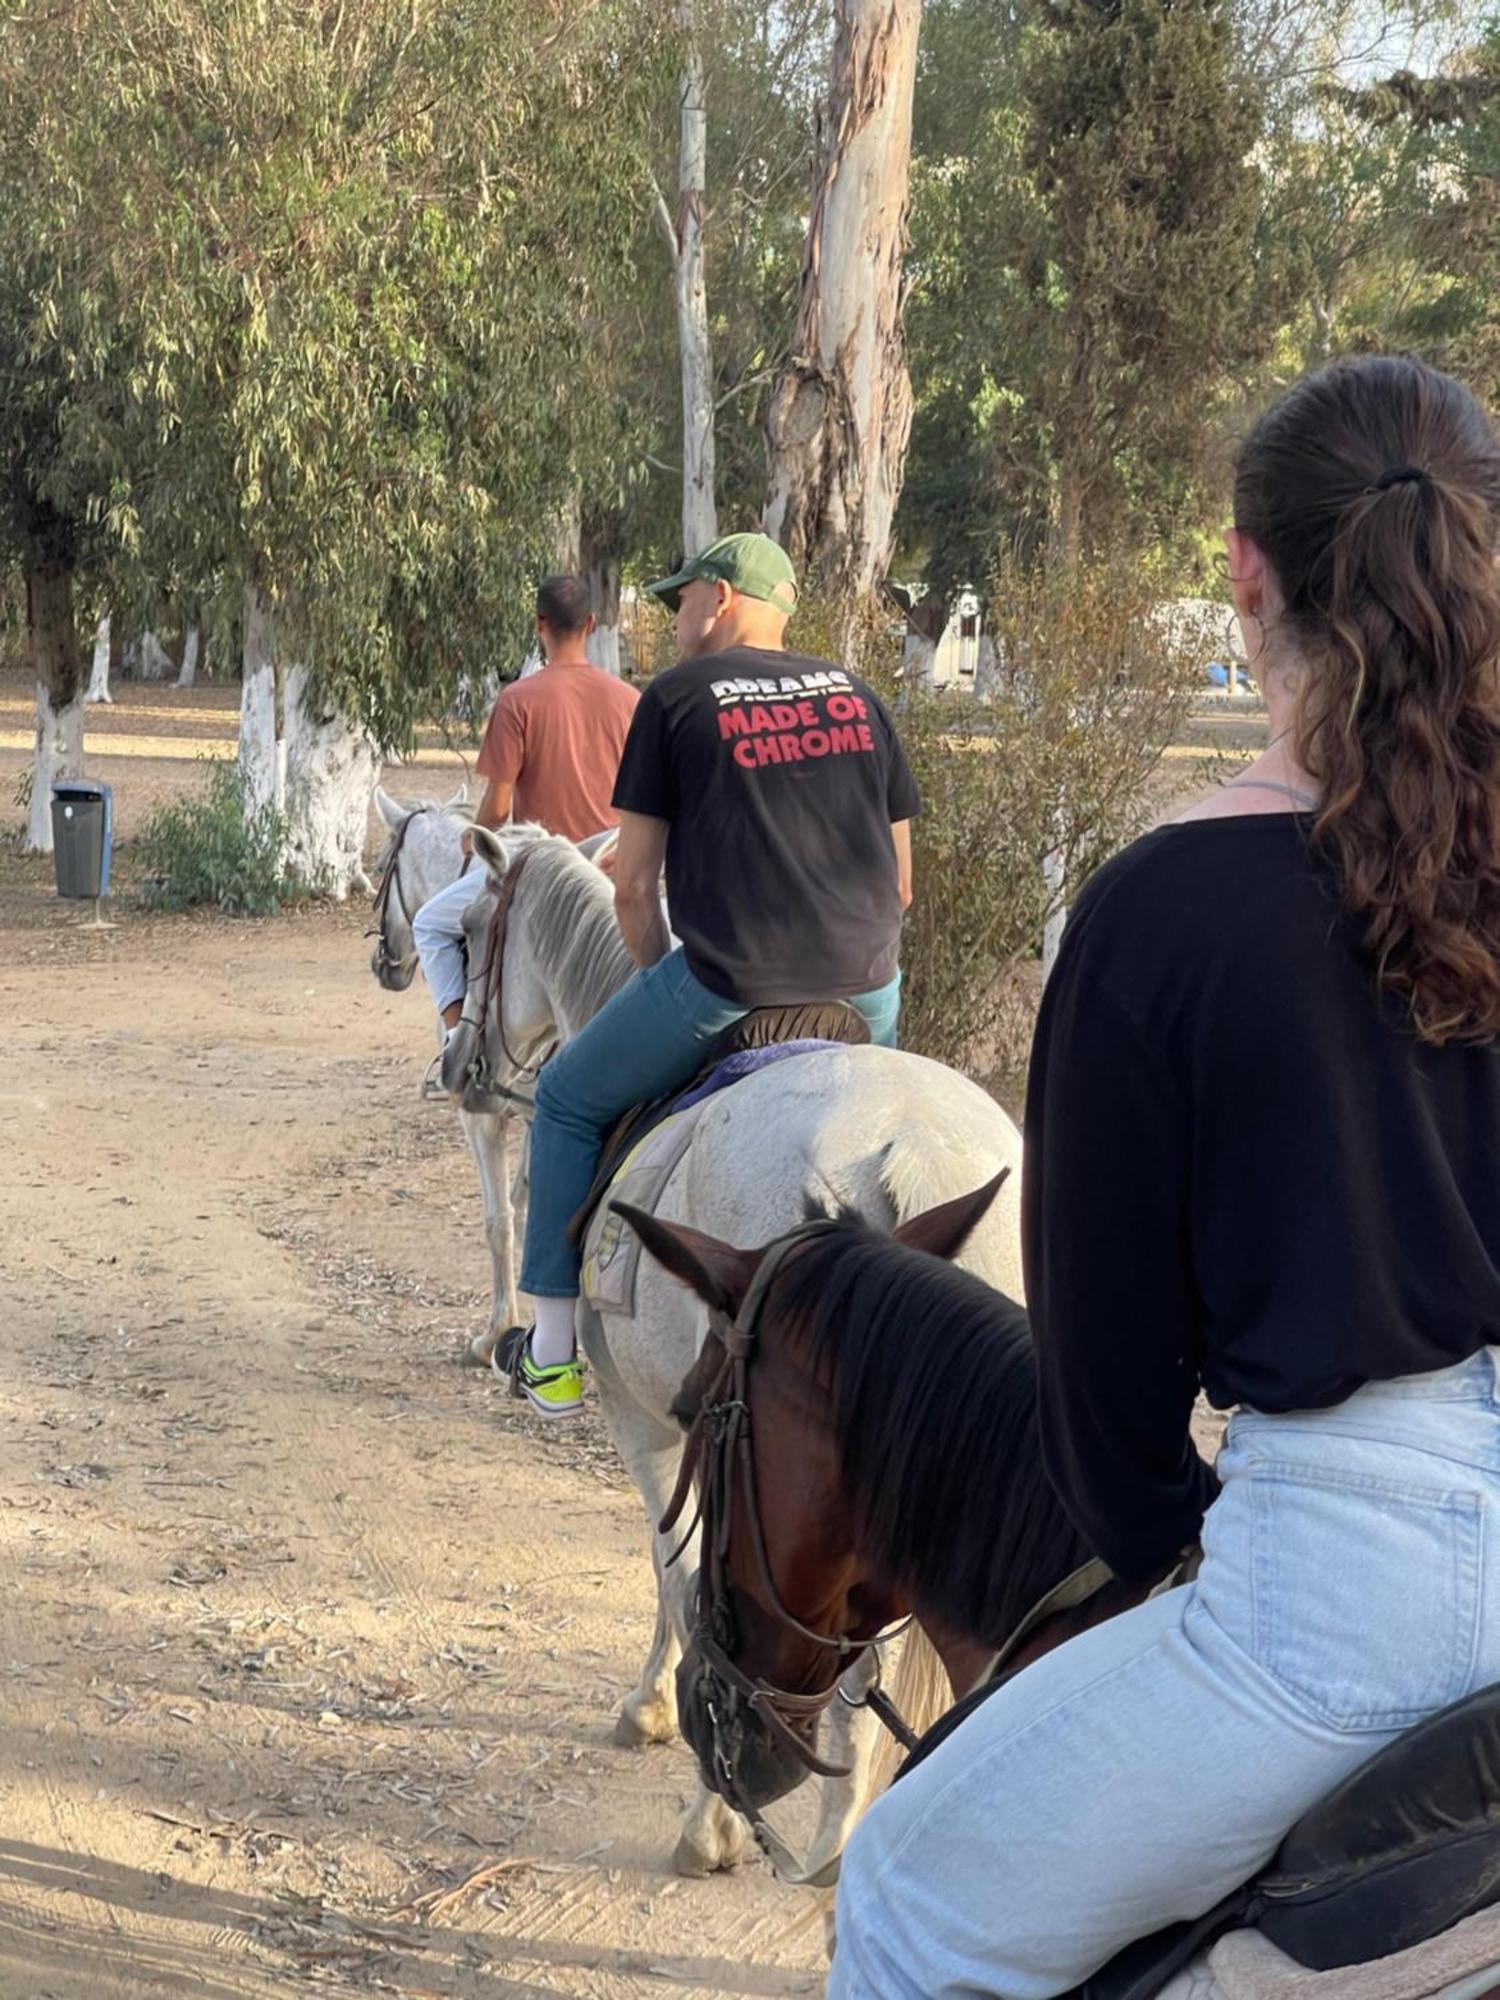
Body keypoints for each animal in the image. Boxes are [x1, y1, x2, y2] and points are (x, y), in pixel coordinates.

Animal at [452, 828, 1032, 1888]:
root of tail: (915, 1147)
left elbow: (678, 1576)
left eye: (471, 931)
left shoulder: (653, 1427)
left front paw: (663, 1727)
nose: (457, 1064)